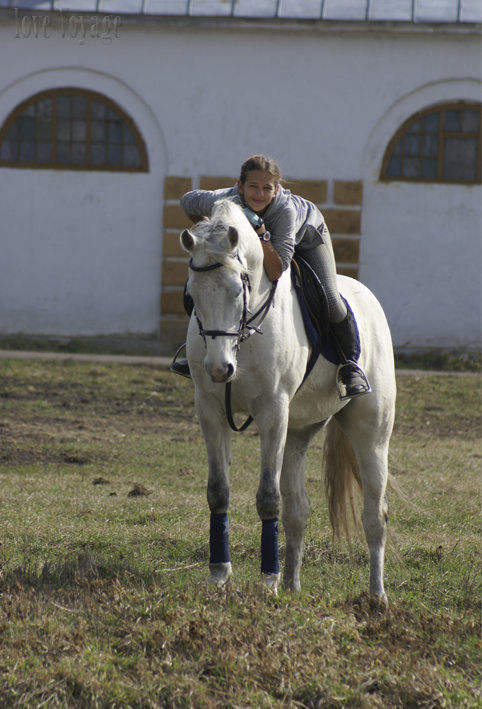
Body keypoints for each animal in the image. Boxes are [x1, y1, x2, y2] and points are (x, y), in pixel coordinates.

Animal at [180, 196, 396, 600]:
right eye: (193, 294)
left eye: (238, 290)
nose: (219, 369)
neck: (244, 337)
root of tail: (368, 298)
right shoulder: (211, 410)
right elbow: (218, 491)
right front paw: (220, 575)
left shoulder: (272, 413)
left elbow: (268, 497)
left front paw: (268, 580)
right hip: (298, 430)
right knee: (298, 510)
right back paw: (294, 586)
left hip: (371, 434)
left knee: (375, 514)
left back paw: (376, 596)